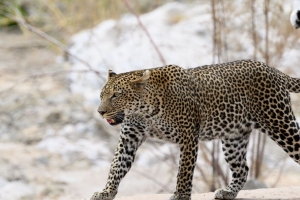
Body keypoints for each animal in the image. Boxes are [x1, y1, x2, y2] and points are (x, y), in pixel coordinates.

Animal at [91, 59, 300, 200]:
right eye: (101, 95)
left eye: (116, 95)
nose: (100, 112)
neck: (145, 111)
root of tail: (272, 69)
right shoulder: (129, 137)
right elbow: (116, 166)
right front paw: (106, 192)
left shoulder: (188, 137)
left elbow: (184, 171)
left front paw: (180, 196)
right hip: (234, 138)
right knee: (242, 169)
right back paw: (228, 192)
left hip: (280, 124)